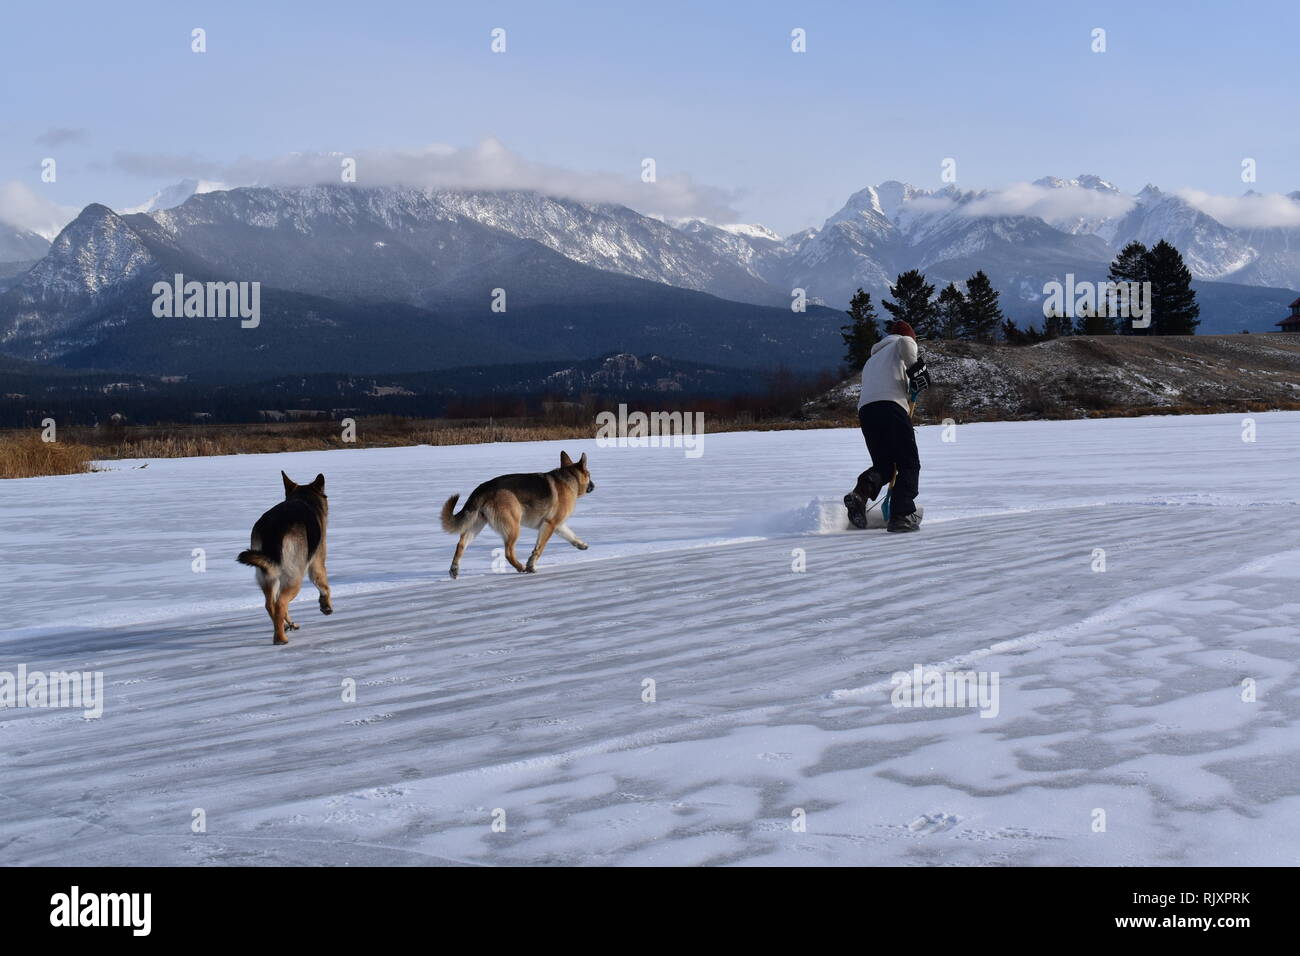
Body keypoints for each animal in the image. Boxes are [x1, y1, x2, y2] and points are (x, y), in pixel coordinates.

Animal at [236, 468, 332, 642]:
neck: (304, 498)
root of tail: (273, 528)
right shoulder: (317, 563)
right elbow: (324, 586)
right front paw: (326, 605)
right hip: (294, 577)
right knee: (280, 603)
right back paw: (280, 639)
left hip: (267, 575)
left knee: (270, 604)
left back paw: (285, 627)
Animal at [441, 452, 595, 580]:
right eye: (589, 474)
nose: (594, 486)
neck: (570, 478)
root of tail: (483, 488)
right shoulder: (549, 525)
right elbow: (539, 548)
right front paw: (531, 565)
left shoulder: (557, 526)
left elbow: (571, 536)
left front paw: (581, 545)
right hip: (513, 528)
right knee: (508, 552)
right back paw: (521, 567)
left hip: (476, 526)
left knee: (461, 544)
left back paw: (454, 569)